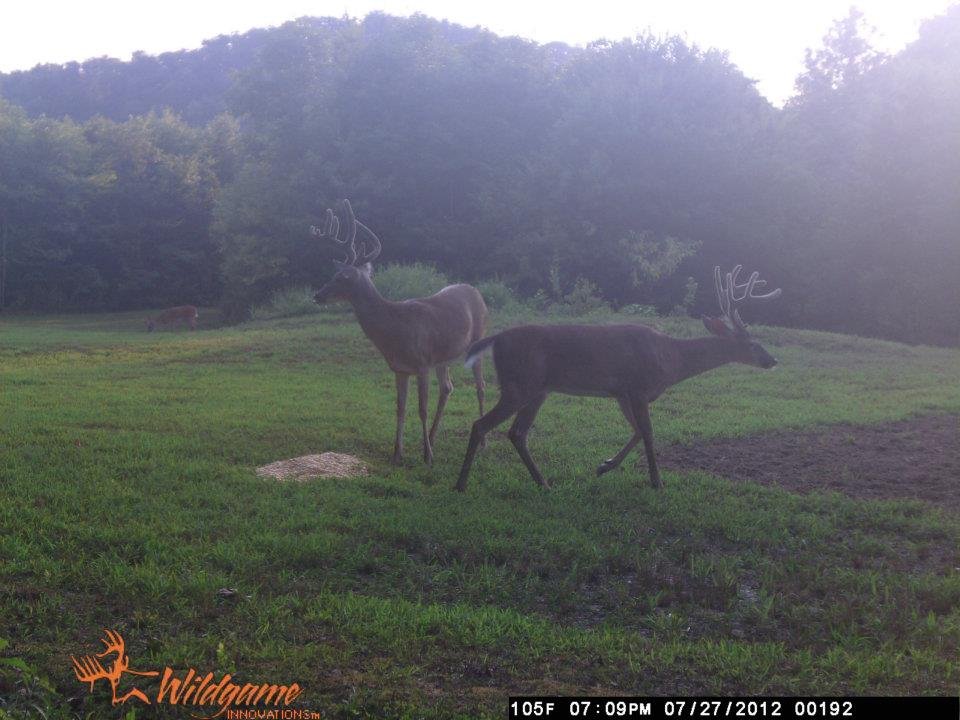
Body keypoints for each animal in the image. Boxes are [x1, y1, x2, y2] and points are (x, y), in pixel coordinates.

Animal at [311, 199, 488, 465]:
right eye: (334, 274)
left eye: (341, 276)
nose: (317, 295)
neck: (395, 330)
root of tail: (476, 291)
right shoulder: (399, 369)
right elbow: (400, 408)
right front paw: (397, 453)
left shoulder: (422, 363)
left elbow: (421, 409)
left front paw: (427, 457)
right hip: (443, 357)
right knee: (447, 388)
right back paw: (432, 438)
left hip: (478, 340)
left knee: (480, 387)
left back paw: (480, 442)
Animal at [455, 265, 781, 492]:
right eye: (753, 344)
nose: (772, 360)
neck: (672, 360)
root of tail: (495, 339)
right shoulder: (638, 388)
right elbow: (648, 432)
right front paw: (657, 481)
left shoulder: (622, 393)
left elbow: (636, 431)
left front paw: (604, 466)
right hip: (519, 384)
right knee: (481, 425)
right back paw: (461, 484)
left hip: (538, 389)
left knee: (516, 433)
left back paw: (543, 483)